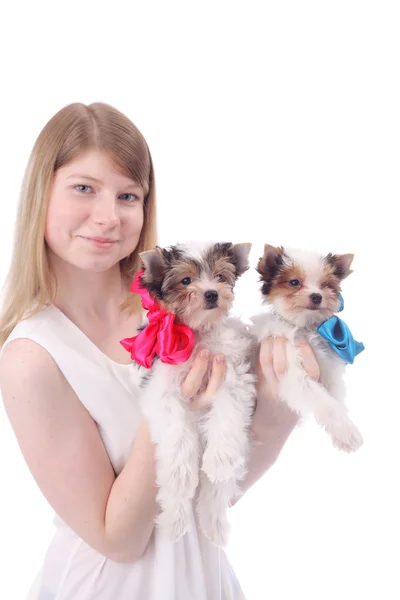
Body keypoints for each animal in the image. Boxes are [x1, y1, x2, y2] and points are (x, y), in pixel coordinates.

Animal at [253, 243, 366, 450]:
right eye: (294, 282)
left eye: (325, 285)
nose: (316, 296)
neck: (304, 327)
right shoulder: (292, 371)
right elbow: (325, 401)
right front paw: (346, 431)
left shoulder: (328, 368)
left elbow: (335, 397)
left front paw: (341, 430)